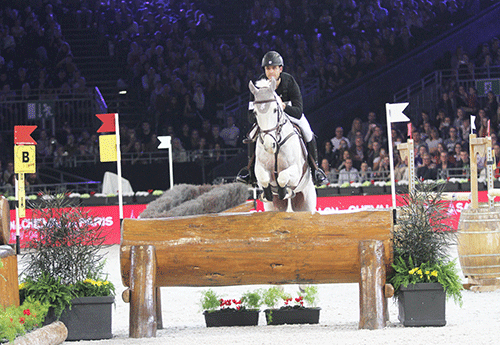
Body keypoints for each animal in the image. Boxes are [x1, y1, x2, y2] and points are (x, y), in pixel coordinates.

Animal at [250, 78, 316, 211]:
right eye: (255, 112)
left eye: (275, 110)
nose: (269, 146)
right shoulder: (259, 168)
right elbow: (264, 178)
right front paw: (269, 194)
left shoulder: (296, 171)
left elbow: (282, 177)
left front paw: (284, 192)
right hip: (274, 207)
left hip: (307, 203)